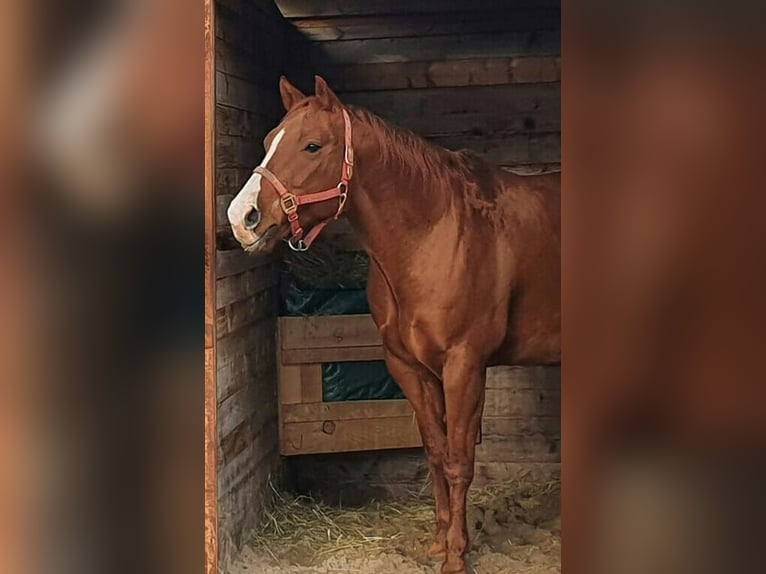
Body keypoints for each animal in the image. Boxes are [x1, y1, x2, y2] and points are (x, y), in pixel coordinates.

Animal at [228, 76, 564, 574]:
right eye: (269, 141)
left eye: (313, 145)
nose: (242, 217)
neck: (434, 233)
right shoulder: (410, 368)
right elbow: (436, 452)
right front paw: (441, 544)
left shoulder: (464, 366)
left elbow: (459, 461)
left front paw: (457, 557)